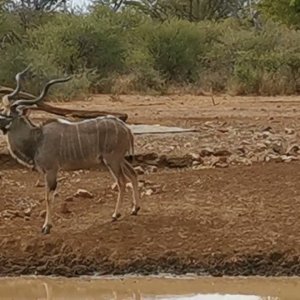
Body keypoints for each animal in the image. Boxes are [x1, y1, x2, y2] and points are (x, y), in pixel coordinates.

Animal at [0, 69, 141, 234]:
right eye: (2, 110)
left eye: (9, 115)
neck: (37, 138)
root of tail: (126, 129)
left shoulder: (51, 171)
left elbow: (48, 197)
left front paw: (46, 227)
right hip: (120, 159)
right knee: (133, 173)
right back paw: (135, 209)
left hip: (112, 160)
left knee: (122, 181)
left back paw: (115, 215)